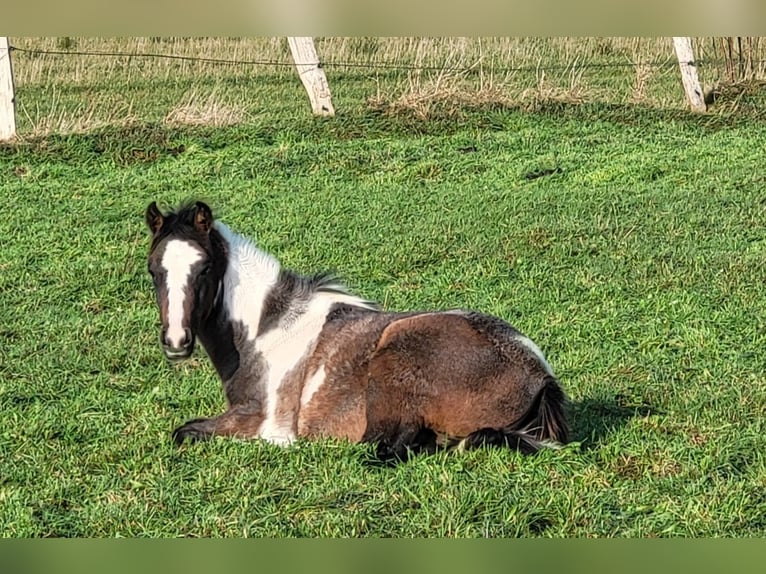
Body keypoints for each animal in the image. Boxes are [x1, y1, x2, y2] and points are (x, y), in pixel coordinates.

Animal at [146, 202, 568, 464]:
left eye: (204, 268)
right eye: (153, 269)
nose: (176, 343)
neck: (266, 331)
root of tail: (540, 377)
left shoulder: (257, 418)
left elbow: (185, 431)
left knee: (385, 449)